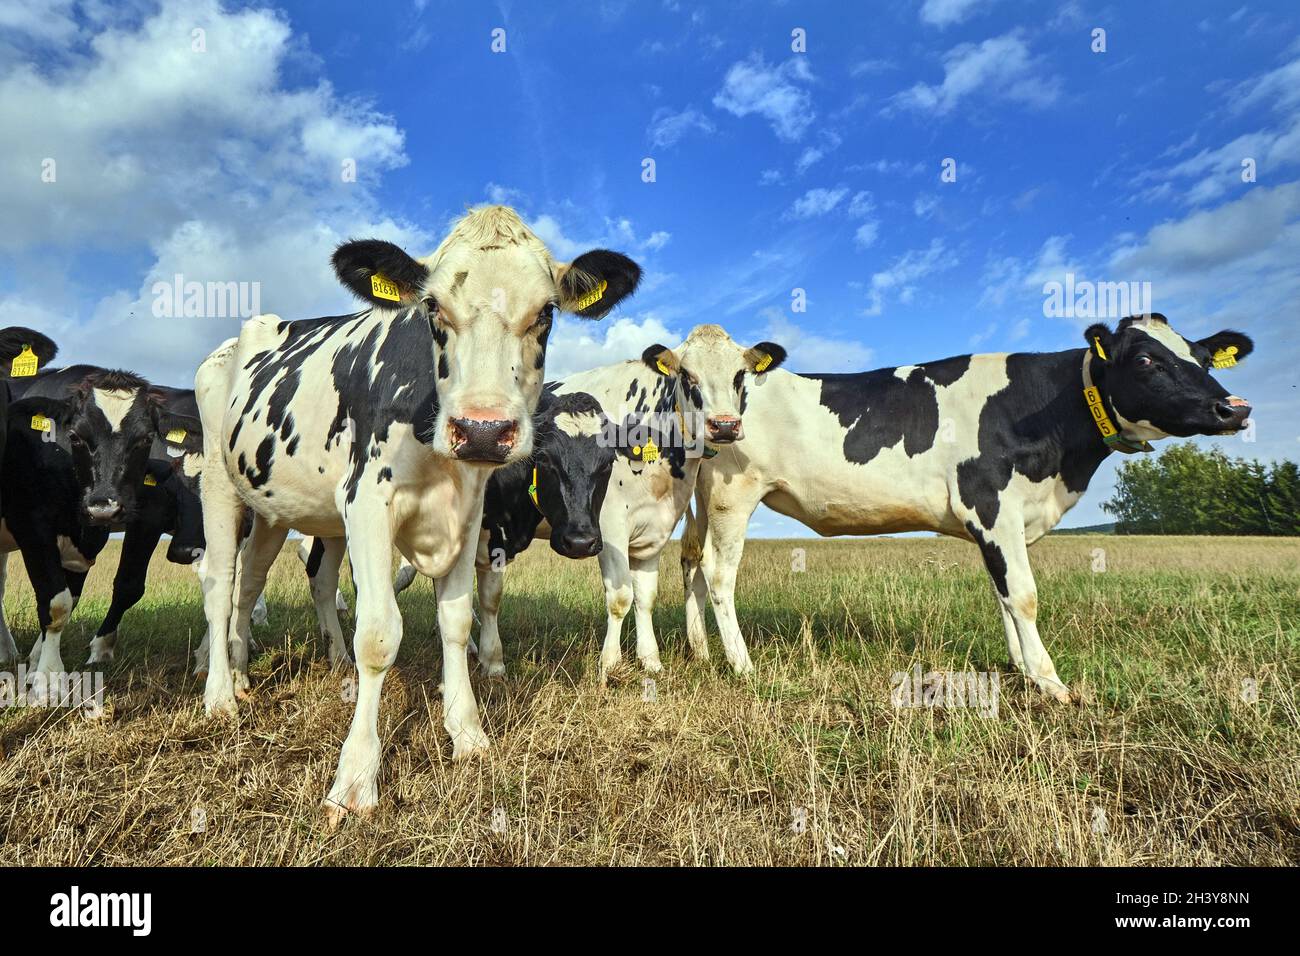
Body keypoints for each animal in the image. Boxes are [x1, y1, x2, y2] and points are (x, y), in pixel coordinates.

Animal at [3, 369, 201, 681]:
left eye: (146, 438)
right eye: (75, 436)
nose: (104, 506)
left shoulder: (88, 541)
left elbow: (69, 598)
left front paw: (36, 662)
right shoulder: (32, 524)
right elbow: (59, 600)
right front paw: (53, 674)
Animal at [192, 204, 639, 822]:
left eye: (546, 312)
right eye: (432, 307)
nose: (482, 428)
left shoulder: (471, 516)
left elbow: (457, 620)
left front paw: (468, 733)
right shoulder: (366, 501)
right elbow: (379, 634)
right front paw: (355, 778)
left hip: (274, 508)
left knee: (257, 581)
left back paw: (243, 672)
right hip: (219, 480)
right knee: (220, 582)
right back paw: (218, 696)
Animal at [548, 325, 780, 676]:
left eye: (740, 374)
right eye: (686, 374)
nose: (724, 425)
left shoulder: (656, 526)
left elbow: (646, 596)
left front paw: (651, 661)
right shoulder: (608, 525)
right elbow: (620, 597)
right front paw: (608, 666)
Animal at [676, 317, 1253, 697]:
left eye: (1203, 358)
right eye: (1145, 359)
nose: (1235, 408)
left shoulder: (1003, 523)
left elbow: (1004, 595)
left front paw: (1020, 669)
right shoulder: (991, 503)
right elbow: (1024, 596)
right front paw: (1051, 683)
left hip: (706, 498)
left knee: (695, 566)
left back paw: (701, 651)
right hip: (733, 494)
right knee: (720, 573)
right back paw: (742, 666)